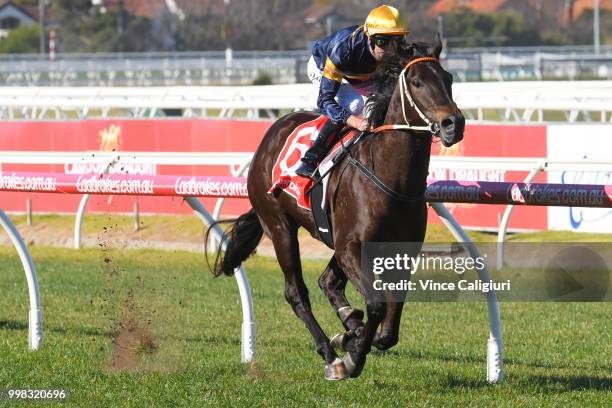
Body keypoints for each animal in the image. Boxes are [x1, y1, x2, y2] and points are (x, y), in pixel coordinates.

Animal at [209, 36, 464, 380]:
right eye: (417, 81)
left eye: (448, 79)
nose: (454, 124)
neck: (392, 179)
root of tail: (273, 132)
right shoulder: (350, 246)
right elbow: (376, 304)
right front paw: (354, 354)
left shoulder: (400, 251)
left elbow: (389, 326)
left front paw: (354, 336)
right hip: (279, 225)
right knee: (297, 292)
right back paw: (332, 357)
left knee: (327, 282)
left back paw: (349, 327)